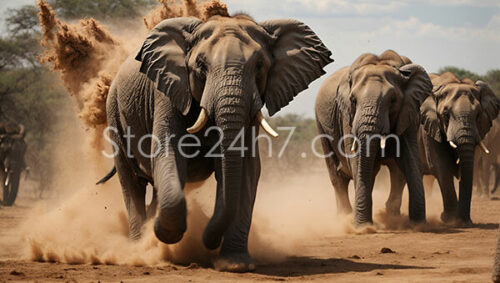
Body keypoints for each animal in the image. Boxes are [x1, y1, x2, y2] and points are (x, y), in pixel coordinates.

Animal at [97, 13, 332, 272]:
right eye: (201, 66)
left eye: (260, 66)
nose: (207, 240)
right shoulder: (168, 92)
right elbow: (168, 153)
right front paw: (164, 235)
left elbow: (247, 169)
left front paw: (235, 264)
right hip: (115, 113)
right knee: (132, 181)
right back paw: (141, 247)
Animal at [316, 48, 430, 226]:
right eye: (353, 100)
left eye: (393, 100)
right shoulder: (347, 115)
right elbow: (357, 160)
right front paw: (363, 227)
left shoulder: (409, 111)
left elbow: (411, 158)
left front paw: (418, 225)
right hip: (321, 125)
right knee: (338, 177)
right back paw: (345, 218)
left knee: (391, 171)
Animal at [386, 72, 500, 226]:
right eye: (446, 115)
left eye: (477, 115)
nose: (465, 221)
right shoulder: (429, 127)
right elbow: (442, 166)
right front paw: (450, 219)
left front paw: (461, 221)